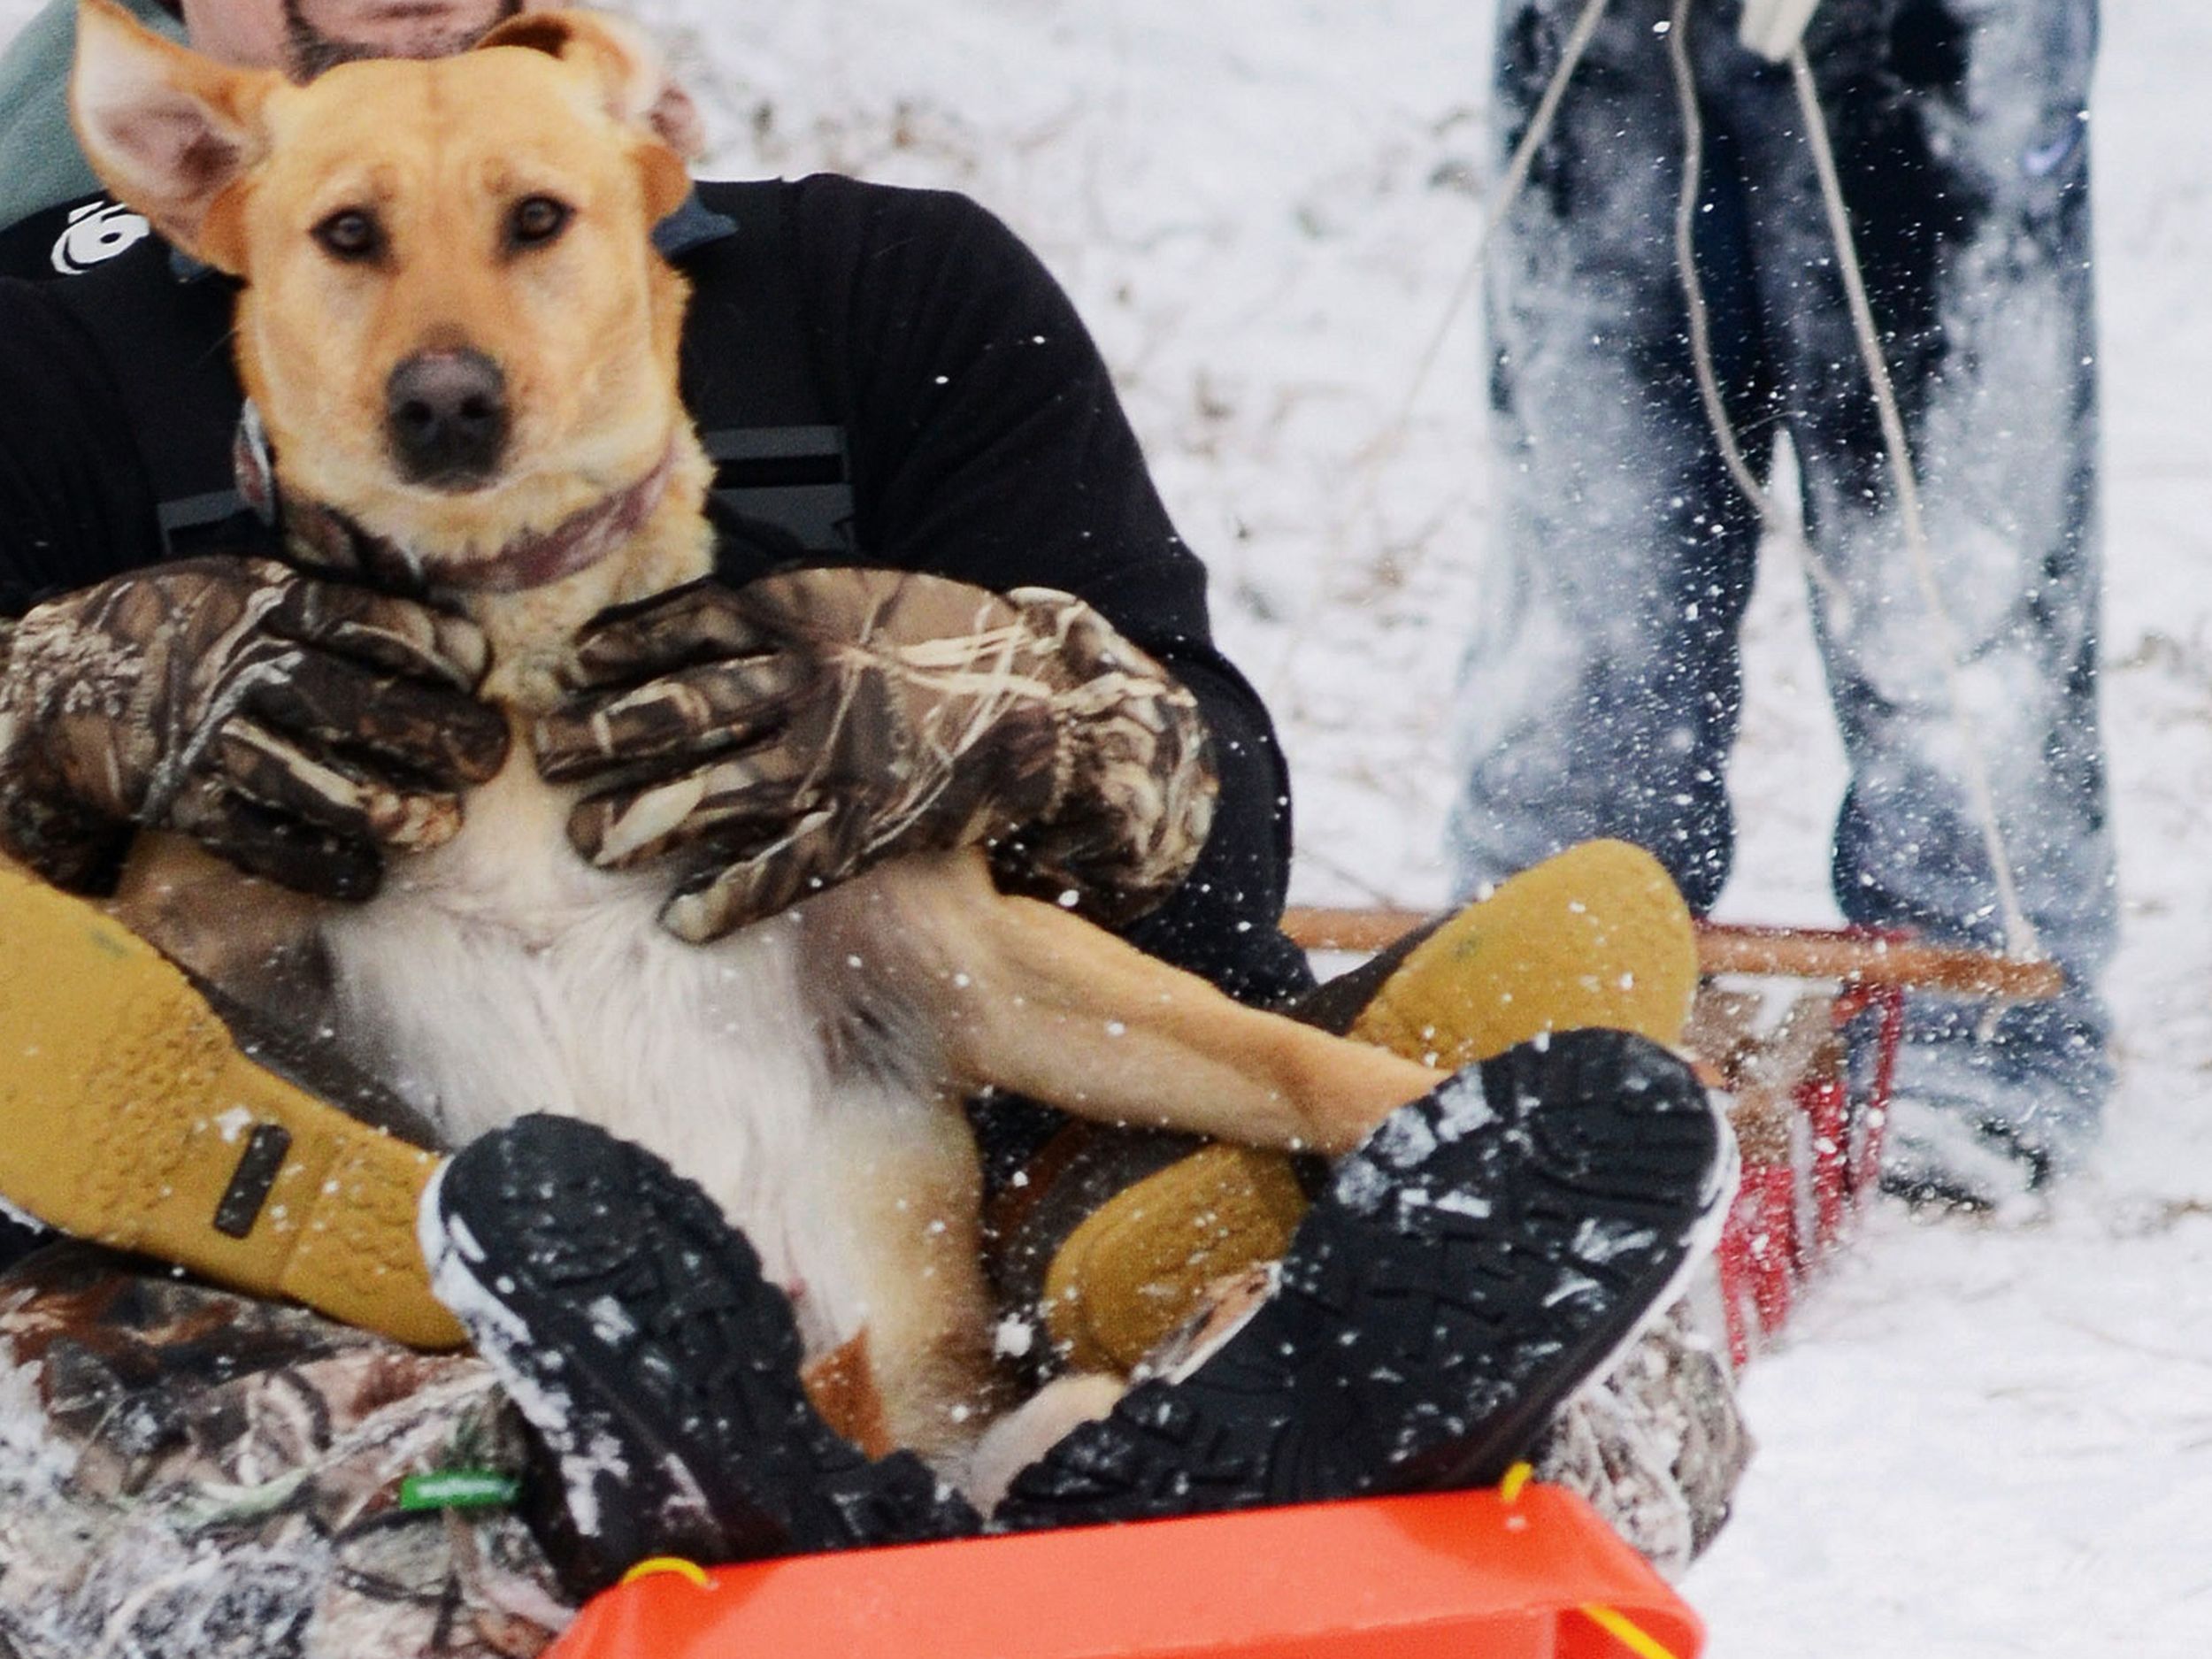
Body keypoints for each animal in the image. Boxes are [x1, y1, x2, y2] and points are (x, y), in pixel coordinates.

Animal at [65, 0, 1433, 1495]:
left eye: (536, 218)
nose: (446, 402)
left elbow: (1288, 1057)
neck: (521, 653)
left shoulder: (962, 958)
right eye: (349, 232)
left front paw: (1434, 1112)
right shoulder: (217, 919)